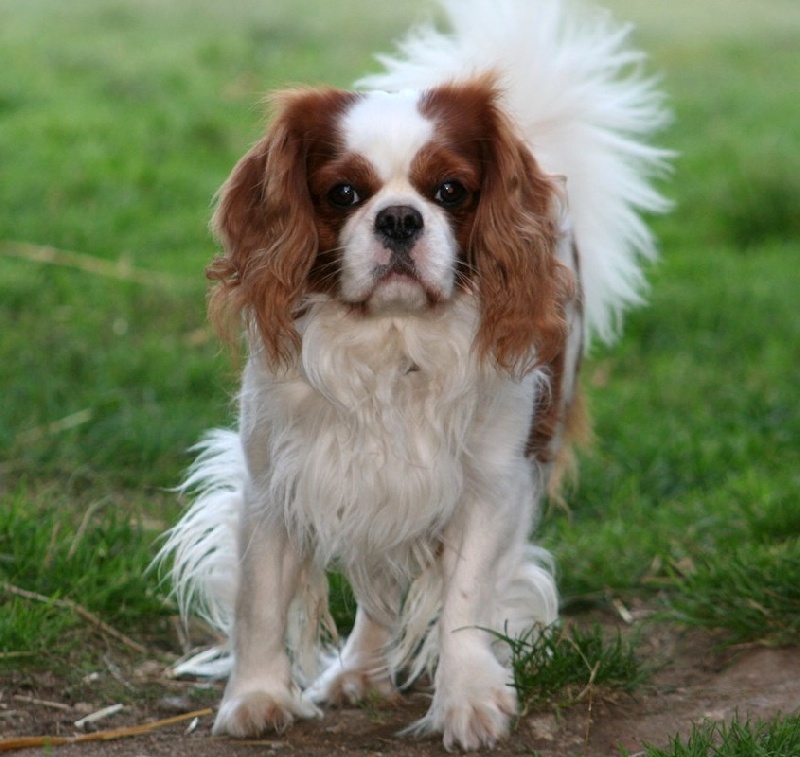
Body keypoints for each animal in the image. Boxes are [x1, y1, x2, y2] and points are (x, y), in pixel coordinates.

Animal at [158, 0, 668, 748]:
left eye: (451, 190)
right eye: (343, 193)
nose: (400, 218)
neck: (392, 342)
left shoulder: (491, 484)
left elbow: (464, 599)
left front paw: (468, 701)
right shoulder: (276, 479)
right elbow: (261, 598)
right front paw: (255, 697)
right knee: (375, 588)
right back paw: (358, 672)